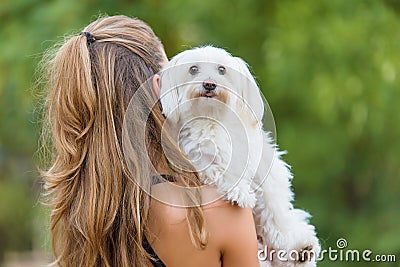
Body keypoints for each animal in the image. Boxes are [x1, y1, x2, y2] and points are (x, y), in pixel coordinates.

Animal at [160, 47, 322, 266]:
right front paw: (240, 191)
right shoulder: (197, 156)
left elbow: (275, 209)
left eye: (222, 69)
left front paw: (292, 241)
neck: (214, 117)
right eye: (193, 69)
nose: (209, 84)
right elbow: (219, 169)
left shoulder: (265, 170)